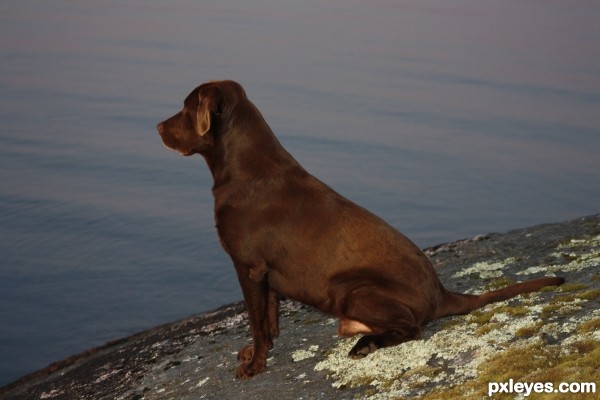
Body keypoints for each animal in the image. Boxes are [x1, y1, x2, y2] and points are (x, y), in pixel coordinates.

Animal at [157, 80, 564, 378]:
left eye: (186, 108)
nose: (158, 126)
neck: (244, 167)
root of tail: (442, 293)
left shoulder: (248, 266)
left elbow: (256, 320)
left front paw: (254, 365)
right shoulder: (264, 272)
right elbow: (269, 318)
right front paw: (257, 352)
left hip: (352, 290)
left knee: (412, 327)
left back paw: (363, 344)